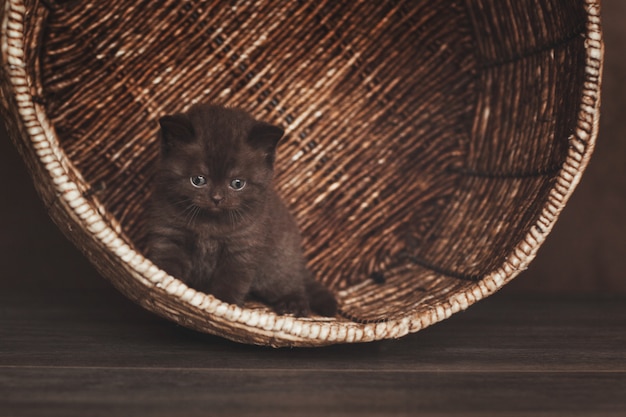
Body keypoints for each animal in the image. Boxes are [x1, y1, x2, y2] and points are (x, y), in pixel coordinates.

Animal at [145, 104, 336, 316]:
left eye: (237, 183)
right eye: (198, 180)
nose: (217, 198)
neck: (209, 225)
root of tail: (299, 260)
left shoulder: (242, 249)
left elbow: (231, 282)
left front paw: (223, 305)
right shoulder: (169, 234)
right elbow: (167, 265)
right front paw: (167, 286)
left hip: (276, 266)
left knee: (292, 283)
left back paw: (293, 304)